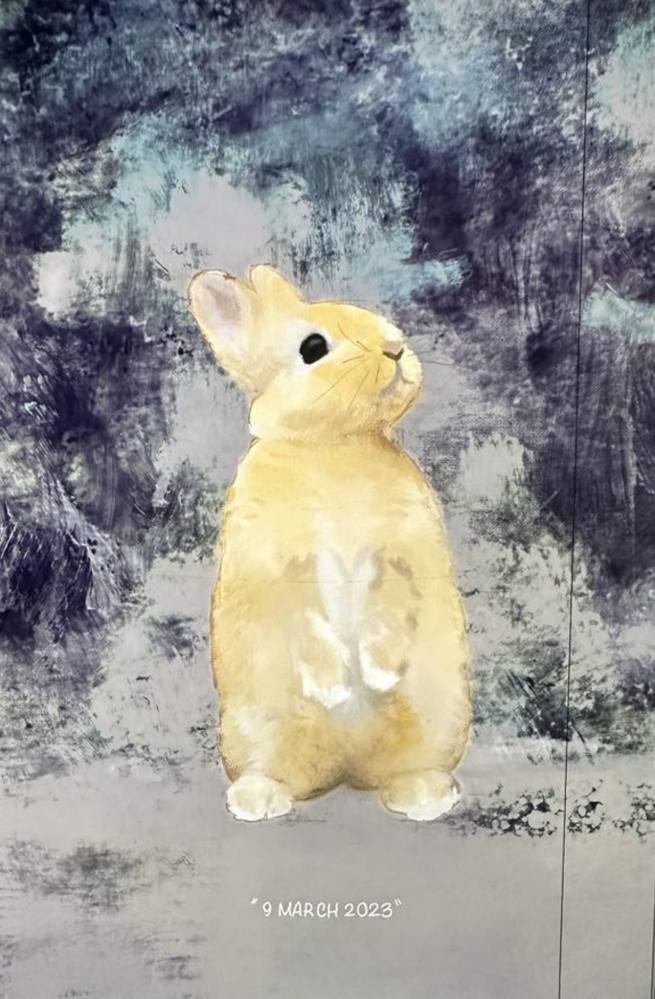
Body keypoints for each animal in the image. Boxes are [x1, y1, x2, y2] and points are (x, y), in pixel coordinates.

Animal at [188, 264, 471, 822]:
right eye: (313, 347)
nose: (396, 347)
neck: (331, 445)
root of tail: (347, 771)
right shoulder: (278, 565)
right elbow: (305, 622)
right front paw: (334, 684)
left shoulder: (399, 551)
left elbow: (388, 608)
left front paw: (376, 673)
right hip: (257, 729)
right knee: (281, 771)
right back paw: (258, 800)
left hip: (436, 718)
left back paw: (424, 797)